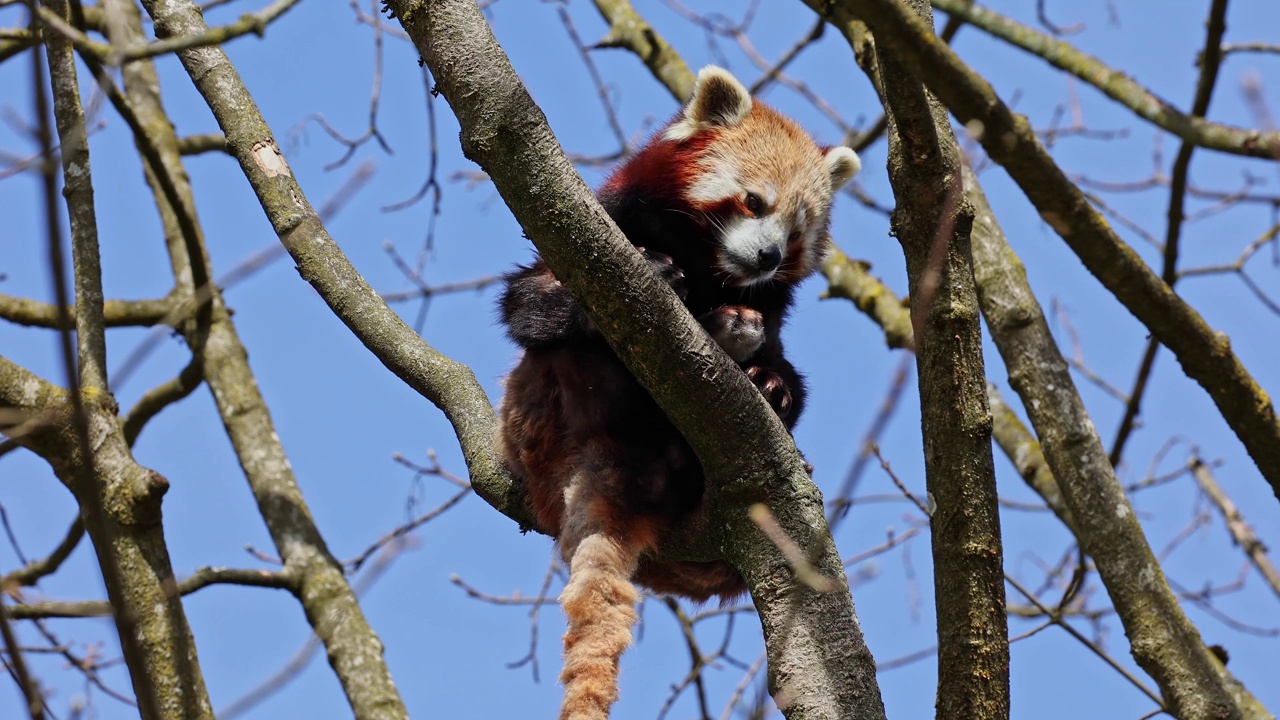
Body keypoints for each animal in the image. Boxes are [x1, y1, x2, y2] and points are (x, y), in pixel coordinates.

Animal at [496, 67, 860, 717]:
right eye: (754, 201)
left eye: (797, 232)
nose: (767, 255)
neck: (709, 266)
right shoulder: (597, 228)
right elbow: (527, 303)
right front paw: (659, 272)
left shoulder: (773, 307)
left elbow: (788, 369)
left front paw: (768, 379)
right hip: (536, 409)